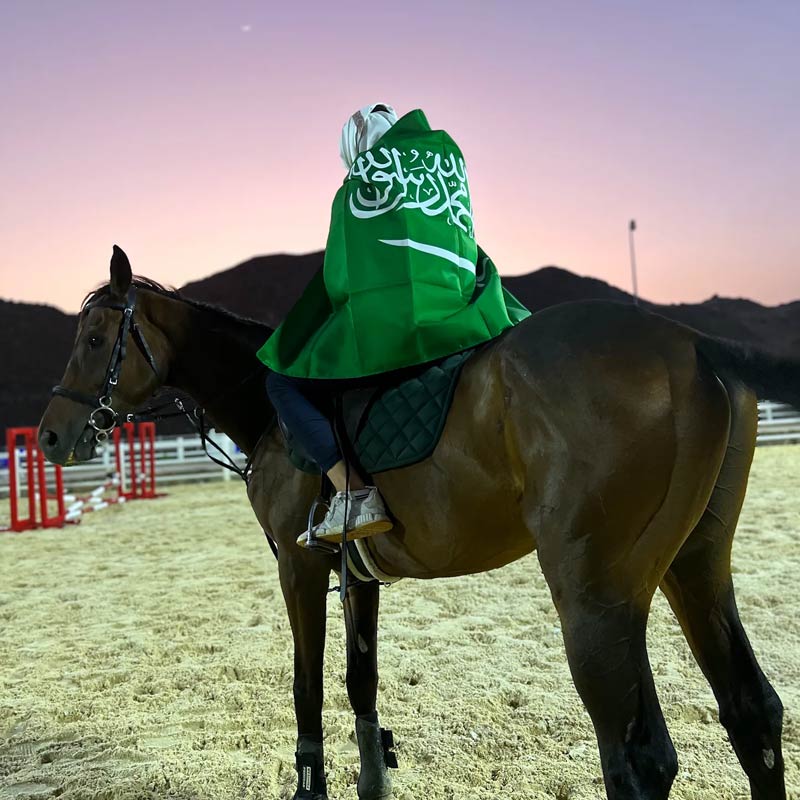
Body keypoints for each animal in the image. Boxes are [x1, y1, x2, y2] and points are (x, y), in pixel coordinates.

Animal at [37, 246, 798, 800]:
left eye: (97, 337)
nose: (49, 436)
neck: (267, 410)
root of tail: (689, 341)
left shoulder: (298, 565)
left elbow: (306, 686)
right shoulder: (358, 574)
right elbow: (359, 681)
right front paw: (373, 782)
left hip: (595, 592)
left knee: (636, 758)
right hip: (691, 567)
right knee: (751, 714)